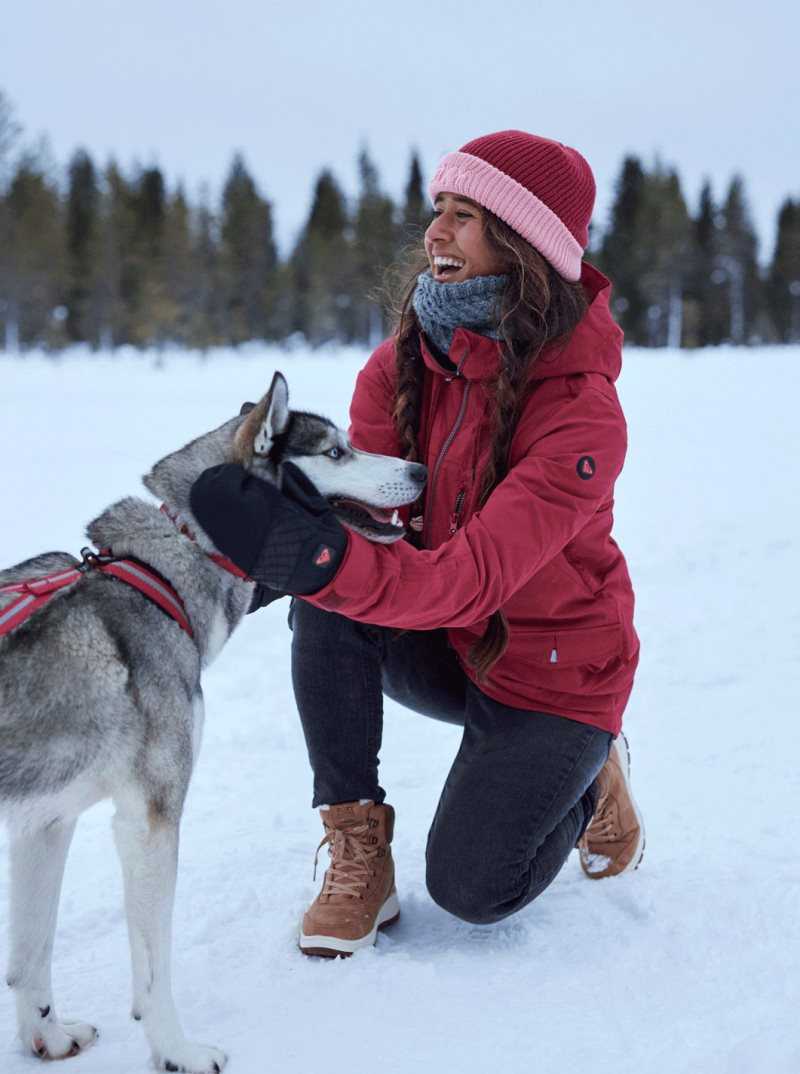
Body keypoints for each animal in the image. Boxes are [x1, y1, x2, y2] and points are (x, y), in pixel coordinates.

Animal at [0, 373, 427, 1069]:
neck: (163, 569)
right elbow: (153, 970)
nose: (419, 469)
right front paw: (177, 1050)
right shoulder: (148, 822)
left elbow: (32, 954)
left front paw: (49, 1038)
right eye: (336, 452)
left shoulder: (46, 823)